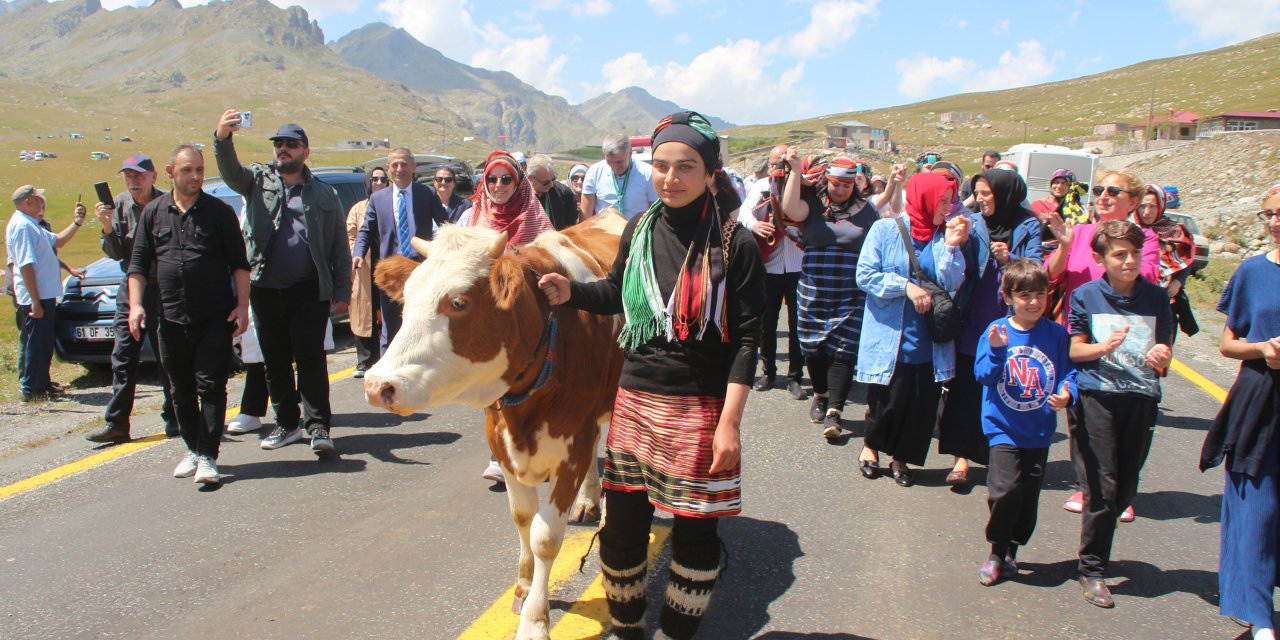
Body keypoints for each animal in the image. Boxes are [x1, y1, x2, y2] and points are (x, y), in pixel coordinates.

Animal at [360, 213, 624, 640]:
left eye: (459, 302)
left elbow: (546, 537)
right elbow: (522, 518)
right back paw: (588, 501)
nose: (377, 385)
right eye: (408, 297)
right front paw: (523, 586)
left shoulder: (573, 444)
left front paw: (535, 620)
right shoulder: (500, 439)